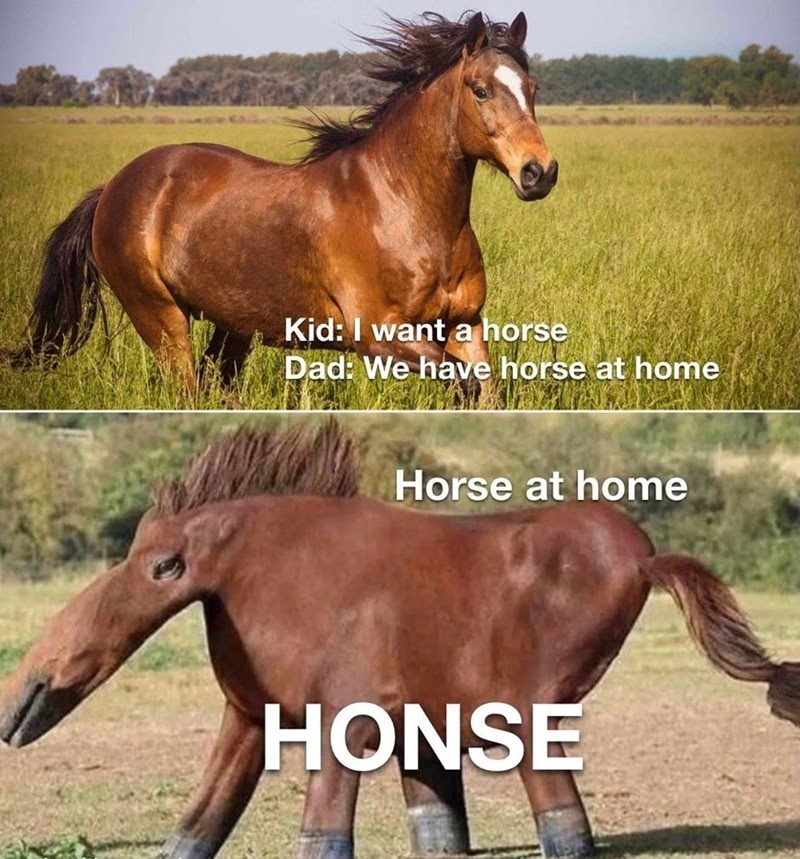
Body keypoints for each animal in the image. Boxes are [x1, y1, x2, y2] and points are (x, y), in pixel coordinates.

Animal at [1, 422, 798, 859]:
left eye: (165, 567)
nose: (24, 697)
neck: (277, 572)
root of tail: (643, 557)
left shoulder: (344, 720)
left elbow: (322, 834)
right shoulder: (255, 717)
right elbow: (195, 827)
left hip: (532, 714)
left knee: (565, 823)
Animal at [4, 11, 558, 399]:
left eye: (532, 88)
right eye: (480, 89)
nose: (540, 172)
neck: (405, 211)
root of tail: (112, 188)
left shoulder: (464, 324)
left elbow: (485, 391)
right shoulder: (377, 335)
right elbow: (464, 382)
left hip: (233, 327)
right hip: (160, 318)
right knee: (187, 387)